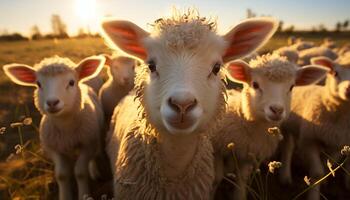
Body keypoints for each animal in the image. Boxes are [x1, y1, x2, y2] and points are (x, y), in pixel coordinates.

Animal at [2, 55, 106, 200]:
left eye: (71, 82)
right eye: (38, 84)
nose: (52, 102)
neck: (66, 126)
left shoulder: (87, 144)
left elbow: (80, 172)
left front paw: (84, 194)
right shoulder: (53, 149)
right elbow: (62, 175)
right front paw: (65, 196)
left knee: (94, 155)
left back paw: (94, 171)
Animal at [212, 53, 330, 200]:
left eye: (291, 87)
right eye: (255, 84)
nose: (277, 110)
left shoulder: (247, 153)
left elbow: (241, 179)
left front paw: (239, 195)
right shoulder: (217, 148)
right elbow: (216, 178)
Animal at [278, 55, 350, 200]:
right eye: (335, 73)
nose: (349, 89)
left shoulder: (338, 145)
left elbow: (328, 165)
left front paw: (325, 181)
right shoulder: (309, 141)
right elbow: (317, 173)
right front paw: (313, 195)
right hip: (286, 126)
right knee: (288, 148)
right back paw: (285, 177)